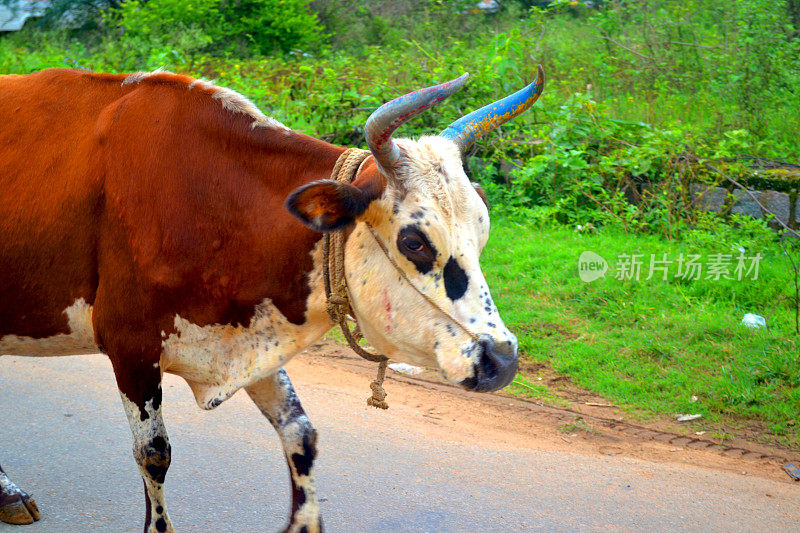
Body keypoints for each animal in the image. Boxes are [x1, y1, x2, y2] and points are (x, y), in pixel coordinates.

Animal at [0, 67, 544, 532]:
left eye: (482, 231)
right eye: (414, 242)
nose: (501, 358)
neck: (210, 200)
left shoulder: (253, 337)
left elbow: (300, 433)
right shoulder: (130, 345)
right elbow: (154, 454)